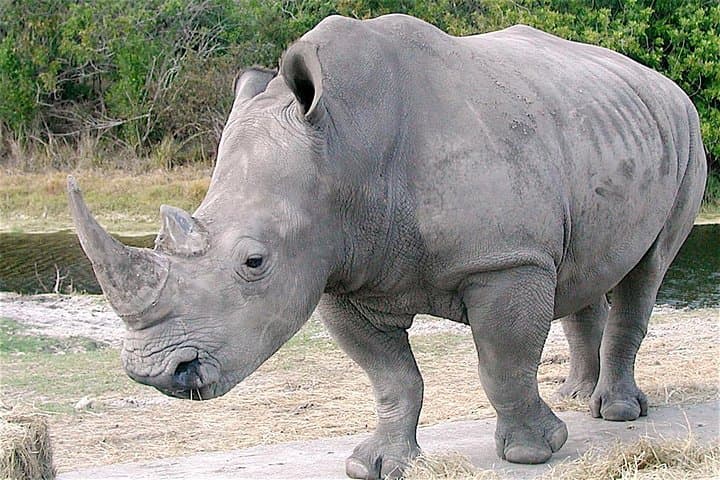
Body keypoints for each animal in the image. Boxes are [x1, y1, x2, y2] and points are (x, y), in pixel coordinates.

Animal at [68, 14, 707, 479]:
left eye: (254, 262)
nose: (155, 372)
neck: (344, 145)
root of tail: (659, 81)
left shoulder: (505, 260)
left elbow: (502, 363)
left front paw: (534, 452)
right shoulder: (337, 269)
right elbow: (391, 377)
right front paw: (374, 463)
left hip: (685, 131)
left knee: (646, 271)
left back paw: (615, 411)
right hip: (599, 129)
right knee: (584, 268)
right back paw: (574, 394)